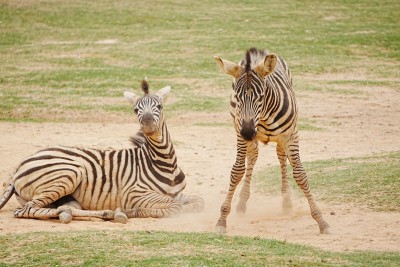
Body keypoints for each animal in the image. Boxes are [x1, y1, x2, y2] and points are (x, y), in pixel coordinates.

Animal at [0, 79, 205, 224]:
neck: (164, 163)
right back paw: (114, 213)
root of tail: (19, 166)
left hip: (66, 195)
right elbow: (175, 207)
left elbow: (198, 202)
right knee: (26, 210)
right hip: (68, 173)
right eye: (135, 110)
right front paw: (132, 211)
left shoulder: (177, 194)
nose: (147, 124)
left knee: (65, 208)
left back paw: (94, 214)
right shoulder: (135, 194)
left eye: (160, 107)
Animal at [214, 48, 330, 234]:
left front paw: (321, 220)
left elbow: (300, 175)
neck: (264, 116)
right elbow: (237, 172)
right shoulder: (240, 133)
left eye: (261, 96)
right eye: (237, 98)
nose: (248, 132)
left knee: (281, 158)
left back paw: (287, 203)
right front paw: (222, 219)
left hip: (282, 138)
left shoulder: (291, 135)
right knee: (253, 156)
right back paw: (242, 203)